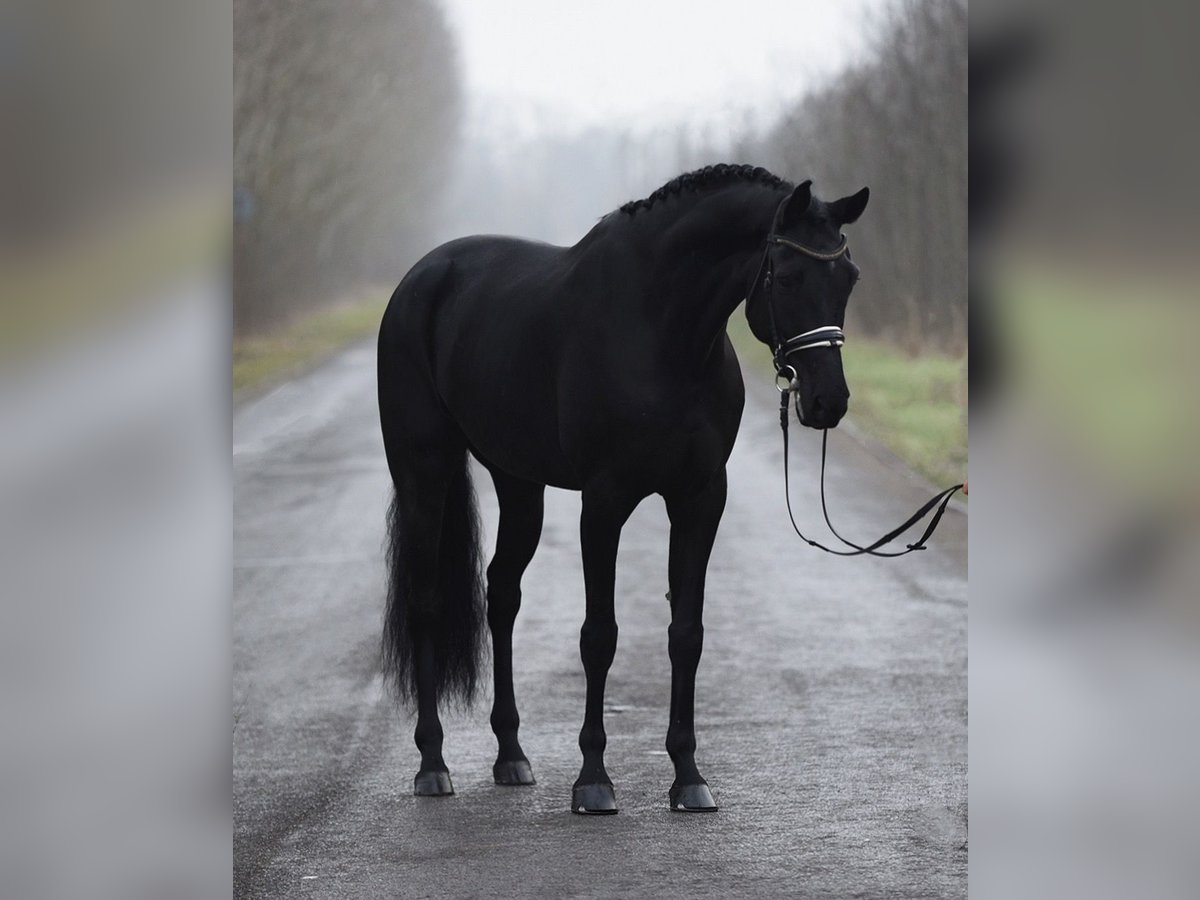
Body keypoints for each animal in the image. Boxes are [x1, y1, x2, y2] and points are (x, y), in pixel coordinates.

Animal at [379, 164, 868, 816]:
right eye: (787, 277)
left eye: (848, 277)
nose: (827, 402)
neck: (662, 332)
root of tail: (423, 276)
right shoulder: (605, 503)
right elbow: (600, 636)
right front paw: (593, 780)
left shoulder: (700, 498)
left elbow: (686, 634)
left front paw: (688, 776)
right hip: (423, 470)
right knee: (427, 600)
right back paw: (432, 764)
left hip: (519, 483)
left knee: (502, 594)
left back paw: (511, 755)